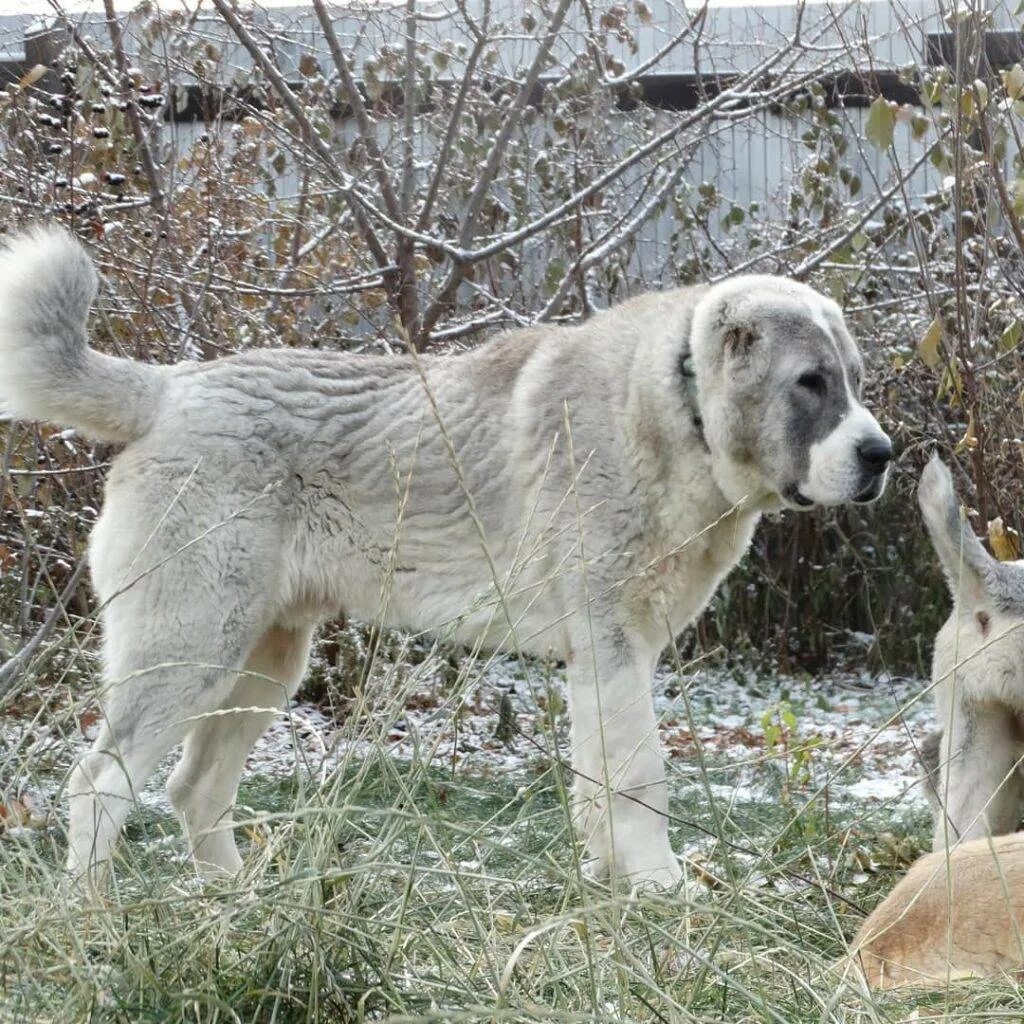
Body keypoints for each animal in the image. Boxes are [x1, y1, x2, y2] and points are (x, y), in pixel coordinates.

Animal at [0, 228, 892, 884]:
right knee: (100, 782)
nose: (883, 454)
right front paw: (661, 890)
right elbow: (639, 779)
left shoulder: (606, 663)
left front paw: (614, 889)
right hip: (189, 652)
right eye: (810, 383)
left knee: (194, 790)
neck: (678, 408)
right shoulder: (610, 649)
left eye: (852, 380)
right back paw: (97, 918)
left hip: (262, 663)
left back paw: (235, 909)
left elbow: (602, 785)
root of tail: (168, 391)